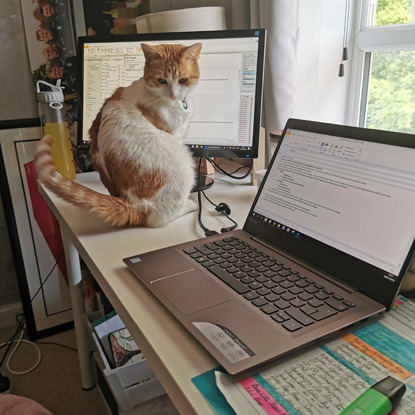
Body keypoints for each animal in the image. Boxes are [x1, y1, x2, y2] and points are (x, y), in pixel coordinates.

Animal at [35, 43, 202, 228]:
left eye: (183, 80)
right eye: (161, 80)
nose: (173, 94)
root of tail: (130, 204)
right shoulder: (175, 133)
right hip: (183, 164)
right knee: (158, 218)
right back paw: (189, 204)